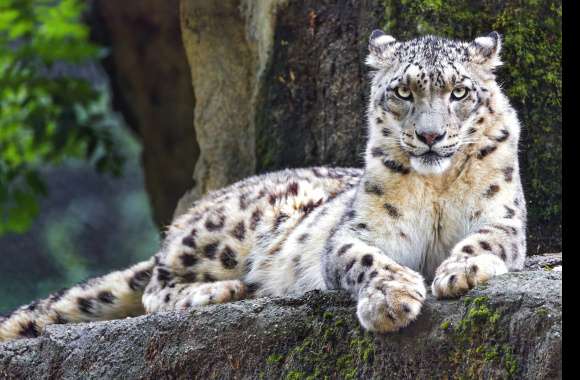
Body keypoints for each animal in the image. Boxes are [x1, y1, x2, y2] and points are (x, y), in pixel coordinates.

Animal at [0, 29, 524, 338]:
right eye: (403, 91)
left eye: (459, 91)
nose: (430, 136)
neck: (435, 189)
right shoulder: (358, 232)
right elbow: (366, 259)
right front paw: (390, 300)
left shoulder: (504, 218)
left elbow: (486, 240)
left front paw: (460, 271)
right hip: (229, 235)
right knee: (155, 285)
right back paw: (220, 292)